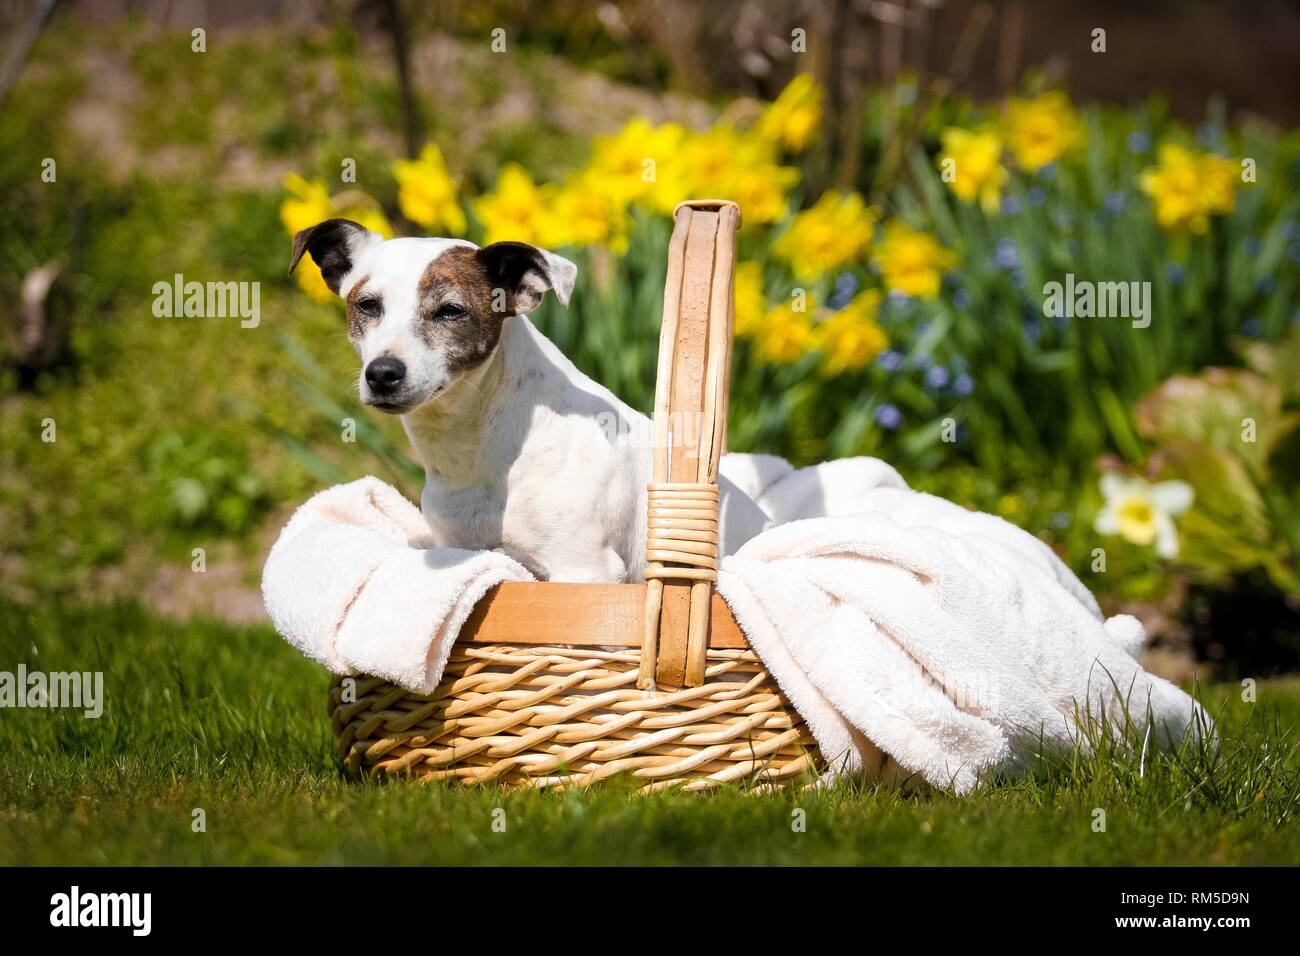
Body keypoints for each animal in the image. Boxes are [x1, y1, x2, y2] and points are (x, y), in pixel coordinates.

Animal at [288, 221, 764, 582]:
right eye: (368, 305)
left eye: (450, 311)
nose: (383, 373)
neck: (478, 450)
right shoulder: (462, 547)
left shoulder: (585, 570)